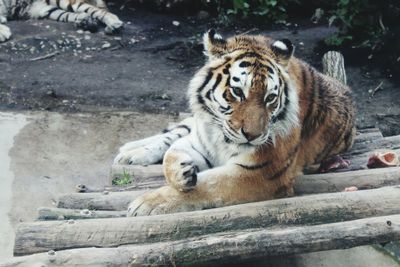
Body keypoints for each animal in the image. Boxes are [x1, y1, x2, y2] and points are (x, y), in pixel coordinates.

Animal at [114, 29, 354, 218]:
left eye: (270, 98)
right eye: (237, 92)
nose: (253, 135)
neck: (219, 136)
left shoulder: (260, 174)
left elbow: (208, 184)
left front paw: (146, 204)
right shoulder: (202, 139)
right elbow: (171, 152)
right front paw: (182, 172)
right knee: (175, 132)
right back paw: (130, 152)